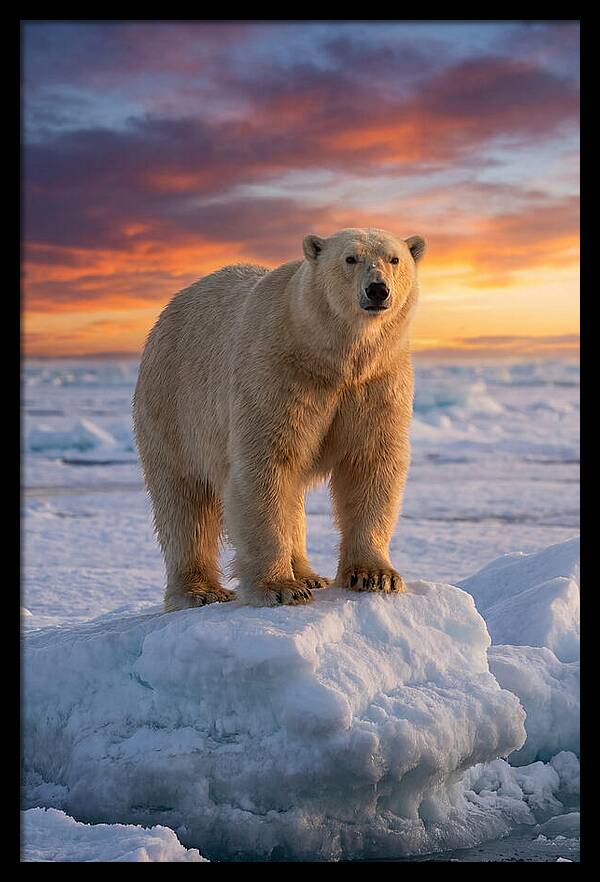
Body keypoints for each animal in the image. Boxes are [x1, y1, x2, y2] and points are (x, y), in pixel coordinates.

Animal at [133, 227, 426, 610]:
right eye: (350, 258)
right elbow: (264, 466)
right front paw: (280, 587)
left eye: (394, 259)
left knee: (291, 495)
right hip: (173, 404)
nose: (377, 289)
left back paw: (309, 574)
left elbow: (371, 463)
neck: (330, 357)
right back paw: (200, 591)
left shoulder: (378, 382)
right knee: (184, 500)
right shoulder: (277, 374)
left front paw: (375, 576)